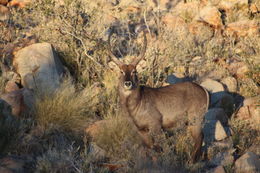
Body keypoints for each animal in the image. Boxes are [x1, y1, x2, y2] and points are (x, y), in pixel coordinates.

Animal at [107, 29, 209, 162]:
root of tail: (203, 89)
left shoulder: (156, 125)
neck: (136, 106)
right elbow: (152, 149)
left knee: (199, 137)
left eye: (134, 71)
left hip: (195, 119)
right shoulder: (141, 130)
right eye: (121, 71)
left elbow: (162, 149)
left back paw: (191, 162)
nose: (128, 83)